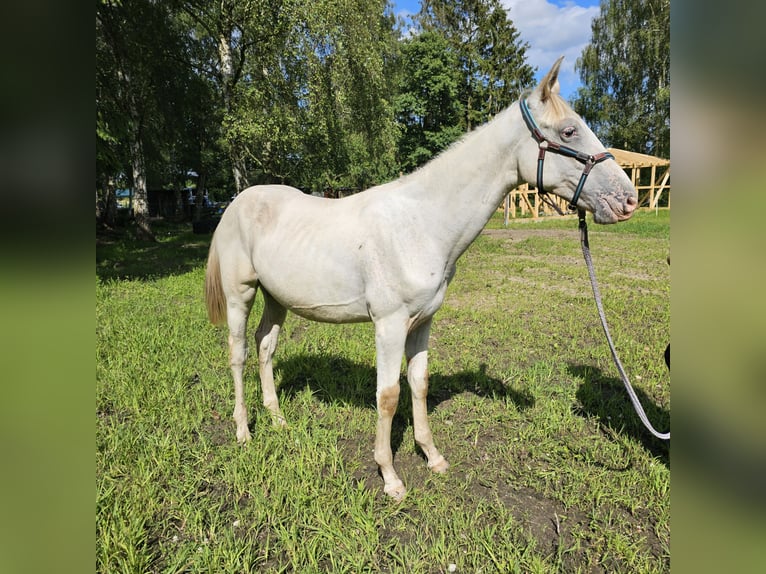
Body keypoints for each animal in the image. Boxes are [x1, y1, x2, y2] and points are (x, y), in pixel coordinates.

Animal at [206, 58, 640, 500]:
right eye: (569, 131)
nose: (628, 199)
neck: (421, 224)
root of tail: (235, 204)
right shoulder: (389, 325)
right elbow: (388, 395)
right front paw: (390, 476)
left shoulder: (423, 322)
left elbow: (419, 384)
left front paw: (432, 456)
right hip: (241, 295)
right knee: (239, 353)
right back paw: (243, 431)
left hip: (277, 298)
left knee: (266, 347)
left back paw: (278, 421)